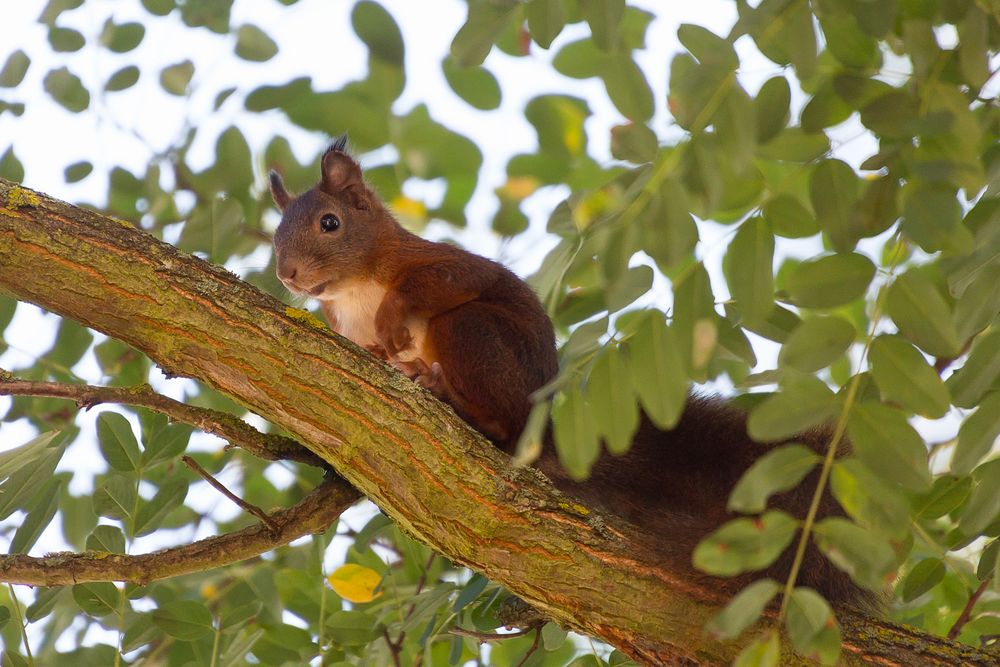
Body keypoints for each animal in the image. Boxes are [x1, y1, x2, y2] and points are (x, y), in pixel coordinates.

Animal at [270, 137, 880, 612]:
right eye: (275, 236)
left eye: (330, 223)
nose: (288, 273)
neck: (353, 292)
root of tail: (534, 428)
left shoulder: (432, 265)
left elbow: (443, 282)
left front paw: (395, 321)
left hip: (475, 337)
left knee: (493, 411)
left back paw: (445, 390)